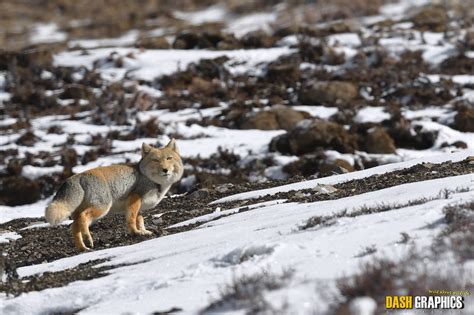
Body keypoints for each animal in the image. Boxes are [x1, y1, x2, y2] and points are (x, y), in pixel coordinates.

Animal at [45, 140, 183, 252]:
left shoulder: (139, 207)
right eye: (156, 160)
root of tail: (76, 176)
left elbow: (140, 220)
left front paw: (143, 231)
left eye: (169, 158)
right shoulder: (135, 198)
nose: (165, 170)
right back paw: (88, 239)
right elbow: (132, 219)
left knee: (74, 227)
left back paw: (82, 248)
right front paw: (135, 232)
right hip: (102, 208)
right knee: (83, 217)